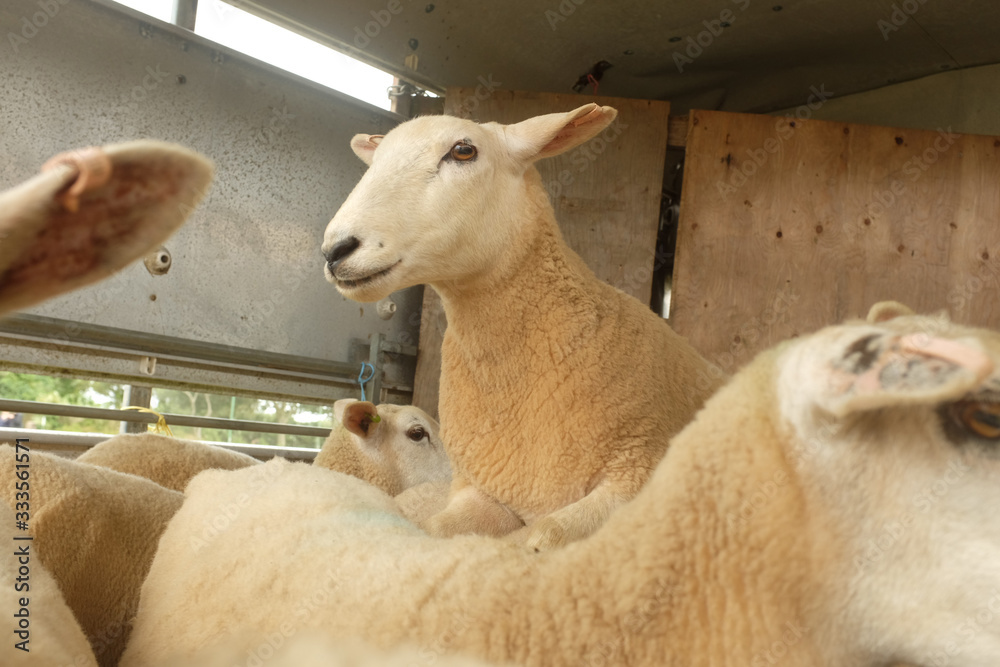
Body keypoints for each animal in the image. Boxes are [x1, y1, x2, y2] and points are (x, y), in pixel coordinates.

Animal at [321, 104, 724, 550]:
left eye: (463, 150)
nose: (335, 250)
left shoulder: (637, 473)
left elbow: (543, 537)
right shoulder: (483, 491)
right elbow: (435, 530)